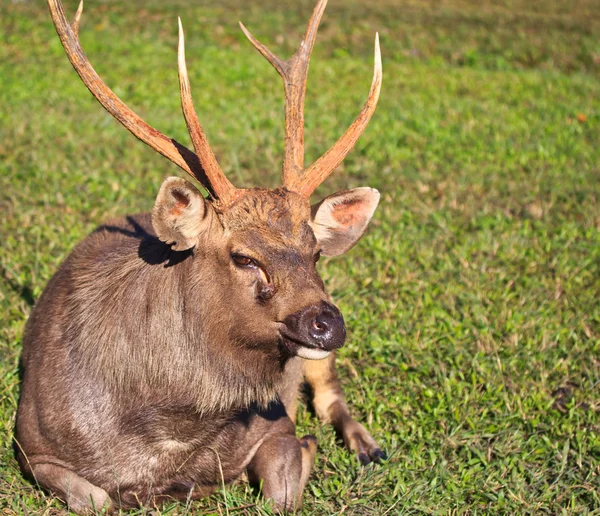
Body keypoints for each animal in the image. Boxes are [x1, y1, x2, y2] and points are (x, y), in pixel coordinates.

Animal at [16, 0, 386, 510]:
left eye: (315, 253)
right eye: (243, 257)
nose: (327, 322)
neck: (169, 442)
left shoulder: (275, 424)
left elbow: (280, 495)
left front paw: (308, 450)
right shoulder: (30, 445)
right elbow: (97, 499)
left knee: (330, 394)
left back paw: (369, 447)